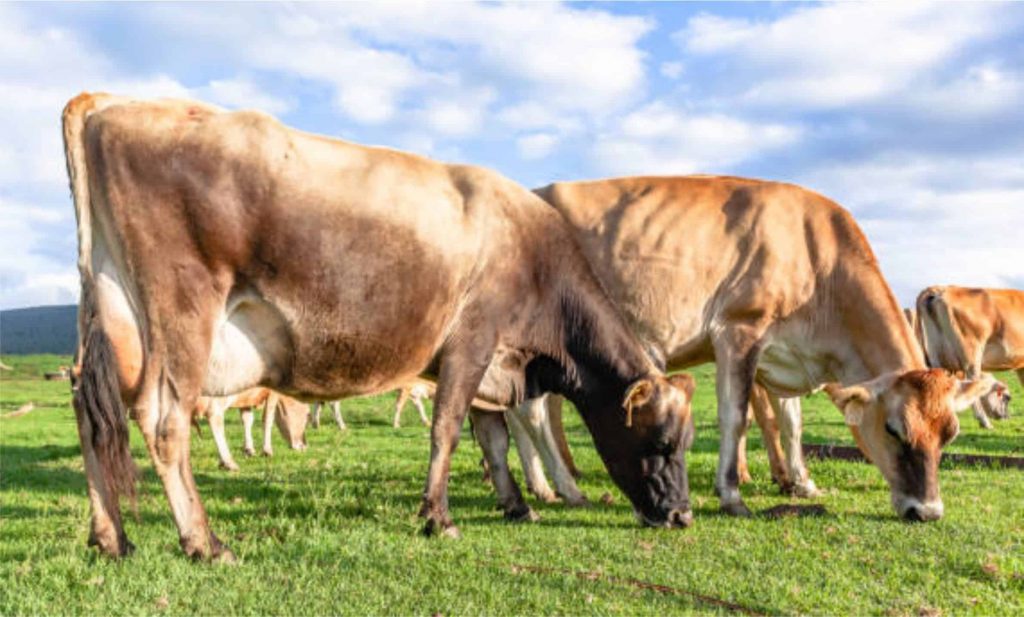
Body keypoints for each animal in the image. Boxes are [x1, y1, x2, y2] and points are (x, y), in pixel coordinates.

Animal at [64, 93, 696, 560]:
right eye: (662, 442)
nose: (683, 515)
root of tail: (108, 104)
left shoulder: (493, 362)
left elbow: (492, 440)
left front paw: (516, 505)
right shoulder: (472, 340)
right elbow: (446, 431)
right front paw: (438, 517)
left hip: (112, 317)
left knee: (91, 415)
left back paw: (111, 538)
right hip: (182, 311)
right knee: (163, 421)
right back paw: (204, 542)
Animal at [532, 175, 995, 519]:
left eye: (950, 433)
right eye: (893, 429)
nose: (927, 510)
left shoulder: (784, 352)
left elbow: (791, 423)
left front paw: (803, 482)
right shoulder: (739, 330)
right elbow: (735, 418)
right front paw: (731, 494)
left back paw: (561, 476)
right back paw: (555, 485)